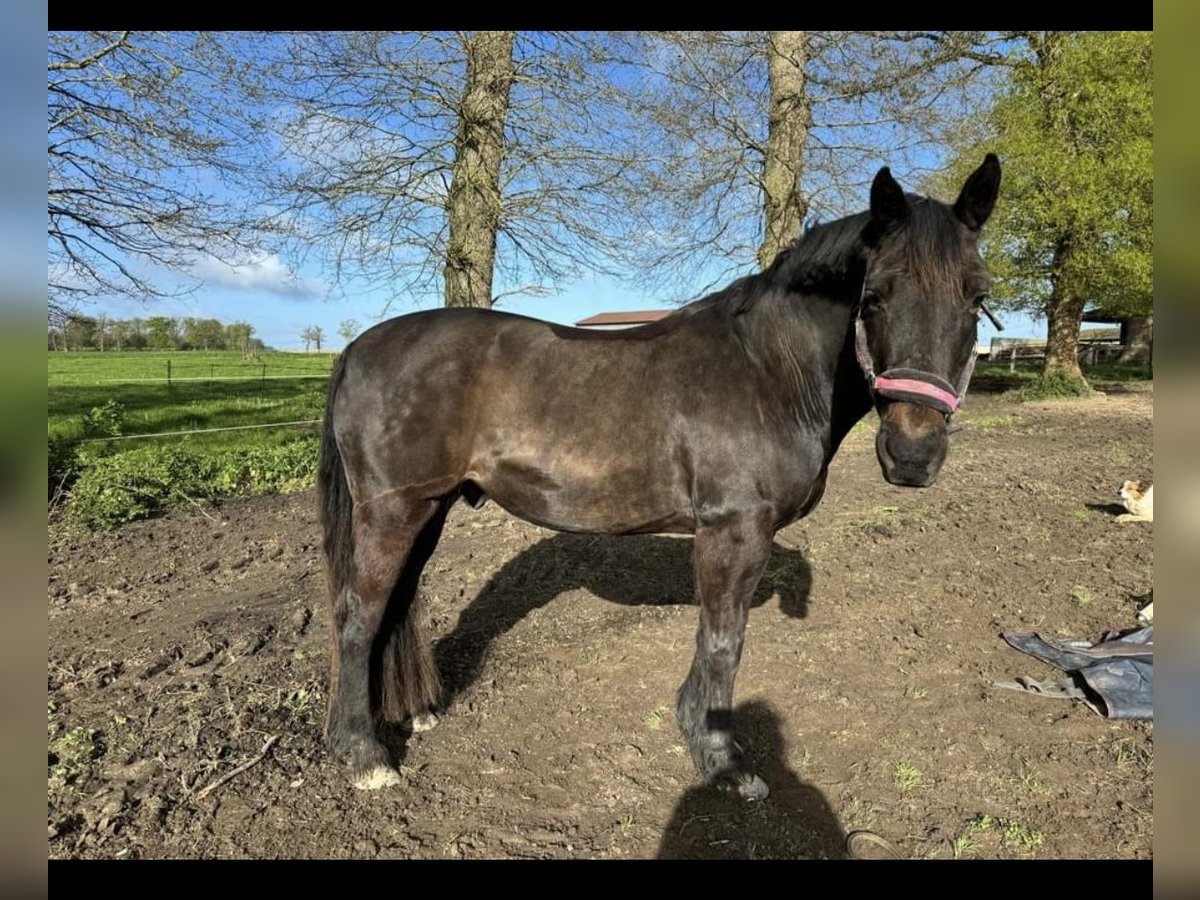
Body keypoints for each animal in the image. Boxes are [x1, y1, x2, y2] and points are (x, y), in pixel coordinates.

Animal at [316, 154, 1003, 796]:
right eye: (875, 295)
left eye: (977, 297)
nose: (912, 453)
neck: (769, 369)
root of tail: (356, 348)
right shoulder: (734, 531)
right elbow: (725, 641)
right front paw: (724, 761)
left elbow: (717, 638)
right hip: (393, 510)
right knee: (359, 614)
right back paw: (364, 754)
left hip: (429, 508)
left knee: (393, 605)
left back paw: (415, 712)